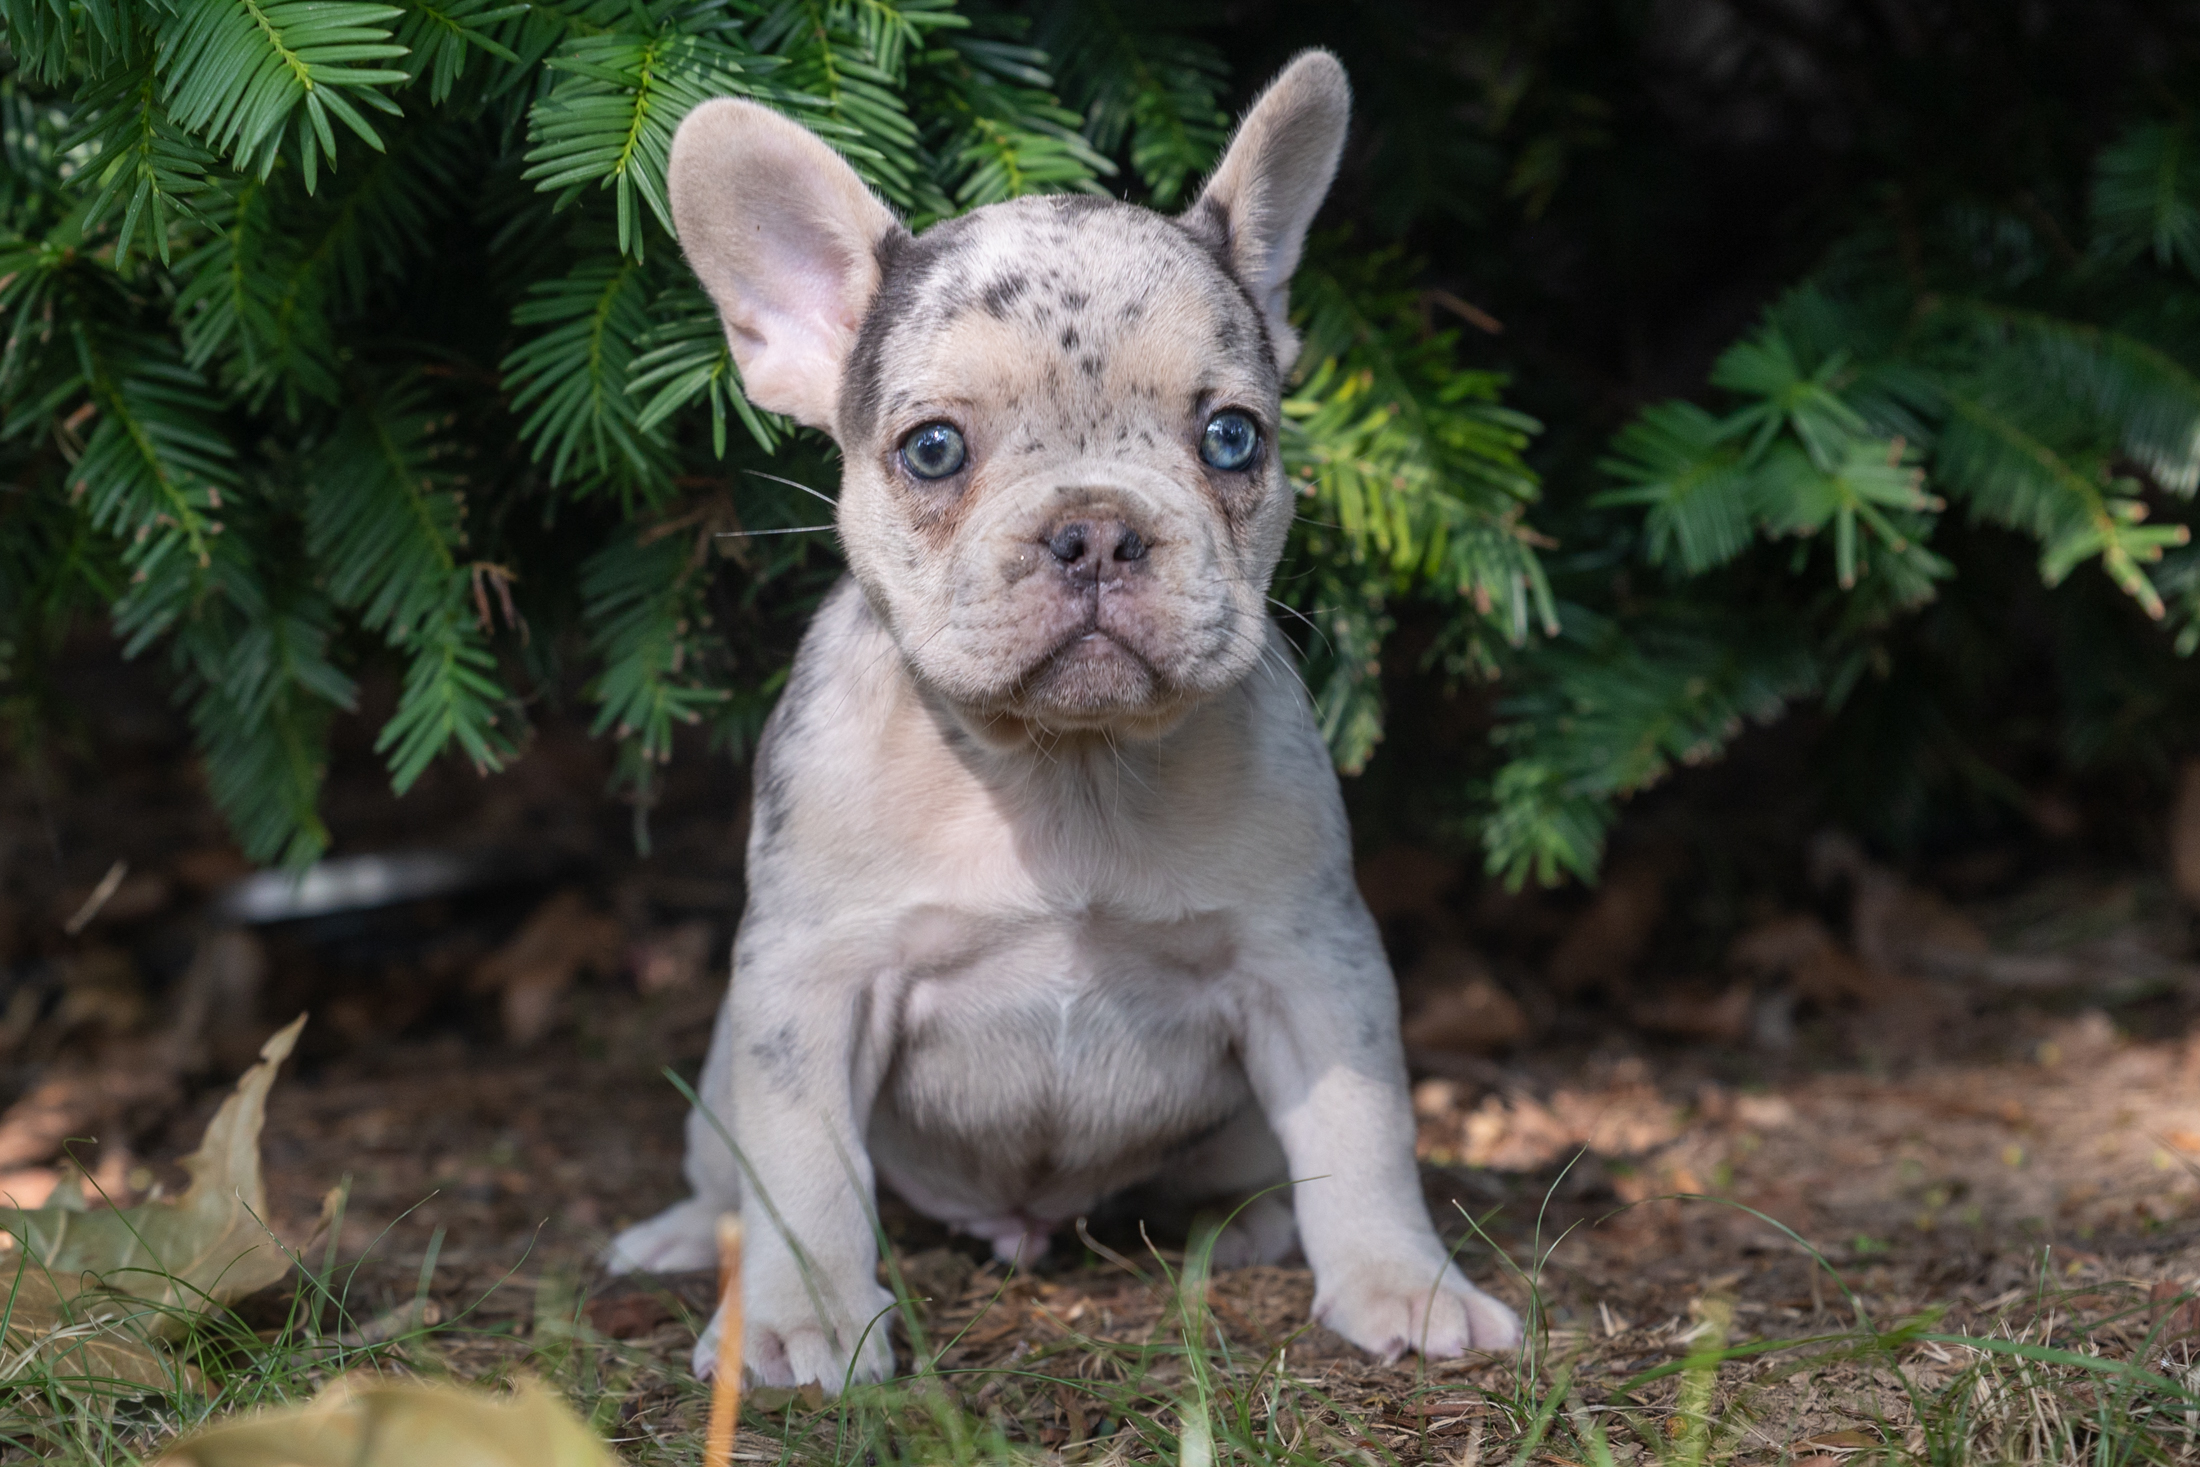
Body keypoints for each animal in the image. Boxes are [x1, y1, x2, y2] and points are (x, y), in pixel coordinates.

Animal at [611, 51, 1522, 1398]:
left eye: (1232, 437)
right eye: (934, 449)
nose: (1095, 528)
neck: (1063, 770)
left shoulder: (1313, 966)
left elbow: (1363, 1134)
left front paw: (1405, 1284)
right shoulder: (808, 988)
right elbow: (807, 1168)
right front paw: (807, 1318)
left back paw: (1252, 1229)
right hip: (722, 1064)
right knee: (731, 1172)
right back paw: (686, 1238)